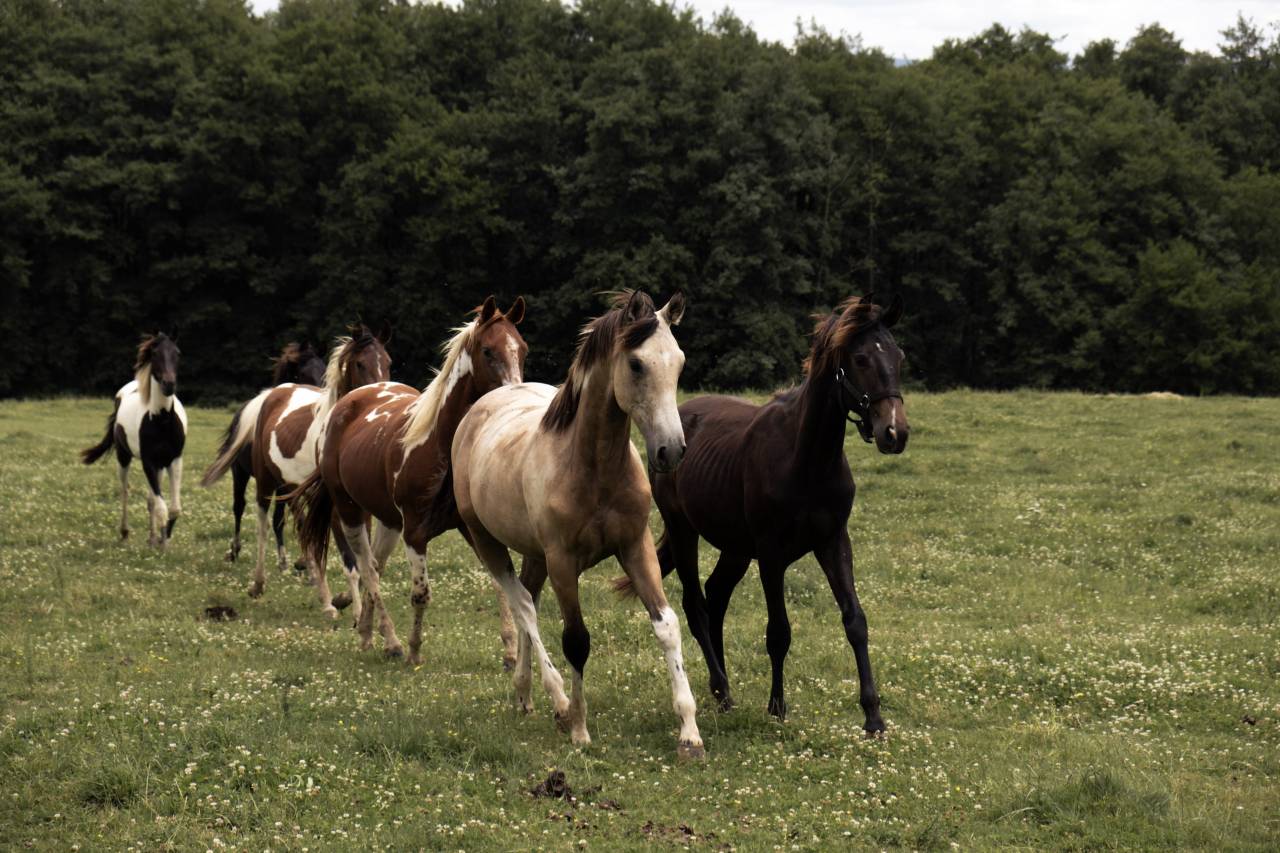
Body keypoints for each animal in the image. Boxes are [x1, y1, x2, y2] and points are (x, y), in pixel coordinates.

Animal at [81, 333, 188, 548]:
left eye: (177, 353)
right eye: (155, 354)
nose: (169, 384)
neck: (161, 420)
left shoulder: (174, 460)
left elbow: (173, 508)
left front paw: (164, 538)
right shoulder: (148, 462)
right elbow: (162, 507)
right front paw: (163, 544)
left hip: (160, 466)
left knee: (150, 499)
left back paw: (152, 537)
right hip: (124, 457)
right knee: (125, 491)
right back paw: (124, 532)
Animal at [209, 342, 326, 566]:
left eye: (323, 370)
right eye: (303, 373)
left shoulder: (284, 485)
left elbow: (279, 519)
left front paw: (284, 559)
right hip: (240, 472)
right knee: (239, 506)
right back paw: (234, 550)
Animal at [292, 297, 527, 666]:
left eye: (523, 349)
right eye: (488, 351)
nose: (514, 395)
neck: (441, 446)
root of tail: (348, 403)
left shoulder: (470, 527)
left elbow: (500, 583)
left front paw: (510, 651)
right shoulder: (415, 533)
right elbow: (420, 594)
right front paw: (414, 650)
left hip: (387, 522)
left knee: (376, 565)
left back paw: (367, 632)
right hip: (350, 513)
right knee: (368, 569)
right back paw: (390, 641)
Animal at [451, 290, 704, 760]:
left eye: (679, 362)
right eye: (636, 364)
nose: (672, 451)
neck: (593, 469)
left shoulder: (636, 548)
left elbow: (667, 627)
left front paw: (689, 733)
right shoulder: (564, 563)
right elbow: (576, 640)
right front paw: (580, 729)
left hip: (533, 554)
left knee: (528, 597)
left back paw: (525, 694)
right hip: (488, 543)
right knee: (523, 606)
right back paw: (558, 701)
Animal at [625, 293, 909, 736]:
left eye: (898, 356)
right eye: (861, 359)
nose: (895, 433)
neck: (807, 460)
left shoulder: (833, 543)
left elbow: (855, 621)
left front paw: (873, 716)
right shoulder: (772, 555)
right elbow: (779, 632)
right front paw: (777, 707)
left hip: (736, 548)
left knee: (716, 596)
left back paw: (722, 688)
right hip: (684, 530)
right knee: (696, 605)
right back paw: (722, 690)